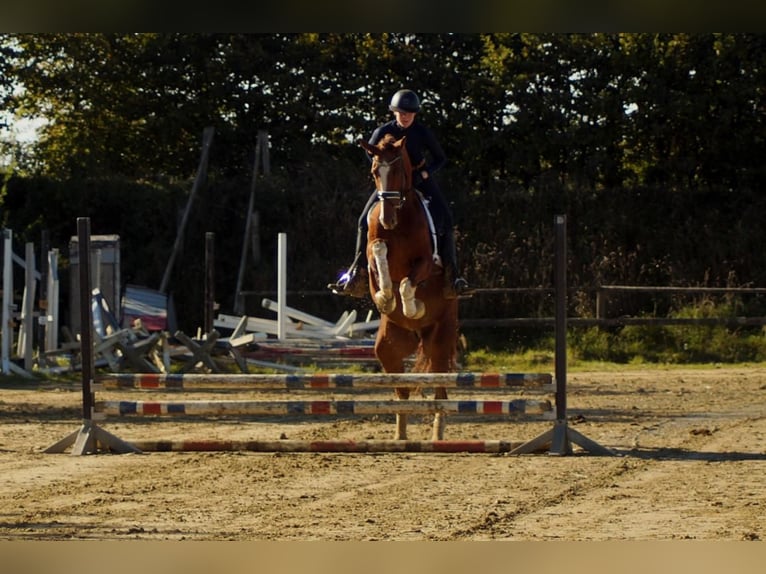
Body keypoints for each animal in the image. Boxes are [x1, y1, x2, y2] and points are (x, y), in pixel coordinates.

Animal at [362, 134, 462, 440]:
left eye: (398, 171)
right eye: (374, 172)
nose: (387, 219)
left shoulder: (426, 262)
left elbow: (408, 283)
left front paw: (412, 306)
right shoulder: (372, 253)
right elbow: (379, 254)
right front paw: (385, 298)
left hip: (440, 340)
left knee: (440, 390)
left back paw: (437, 435)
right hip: (389, 347)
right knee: (401, 390)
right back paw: (400, 435)